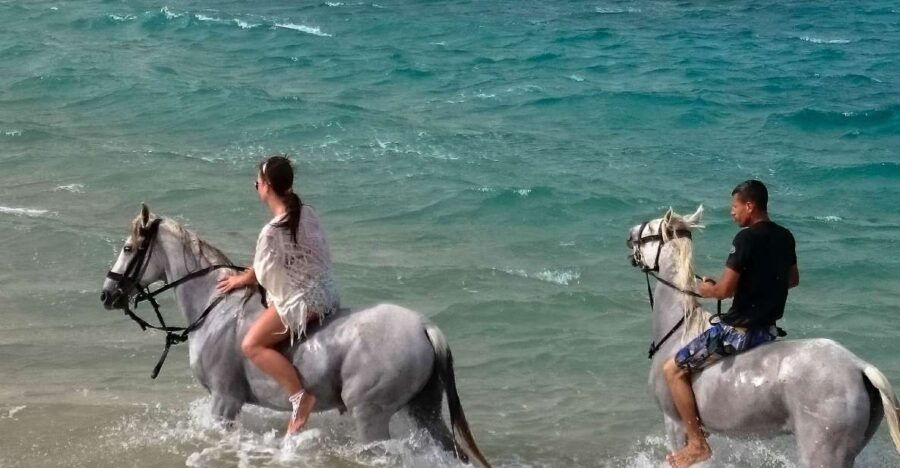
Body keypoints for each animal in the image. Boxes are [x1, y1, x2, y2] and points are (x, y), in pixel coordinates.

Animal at [100, 204, 490, 467]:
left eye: (128, 248)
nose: (106, 295)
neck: (216, 308)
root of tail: (425, 327)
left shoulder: (225, 402)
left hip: (371, 417)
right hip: (424, 411)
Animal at [627, 206, 900, 467]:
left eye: (649, 230)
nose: (629, 235)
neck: (679, 330)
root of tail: (859, 366)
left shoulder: (675, 424)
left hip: (822, 452)